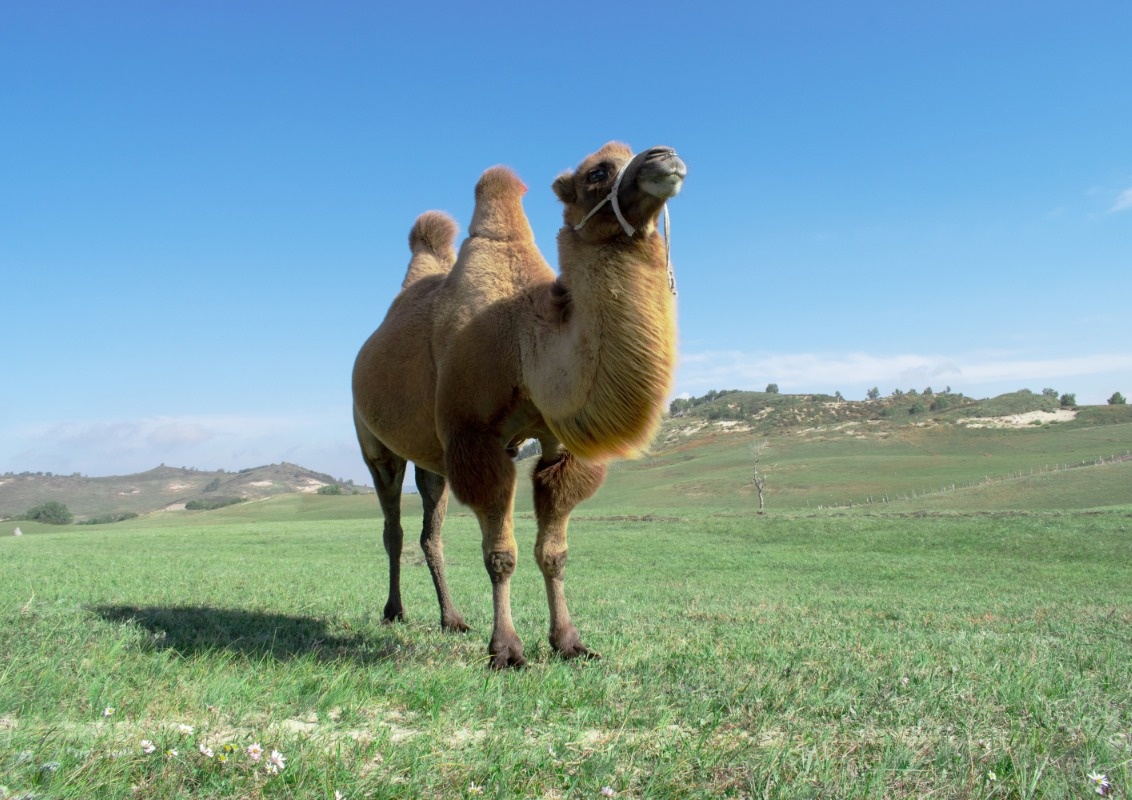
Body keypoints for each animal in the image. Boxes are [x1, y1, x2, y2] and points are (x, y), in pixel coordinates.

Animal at [352, 142, 686, 668]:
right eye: (597, 172)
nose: (664, 157)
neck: (524, 344)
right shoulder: (475, 437)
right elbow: (500, 555)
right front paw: (506, 650)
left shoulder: (557, 447)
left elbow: (553, 552)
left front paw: (569, 641)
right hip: (375, 445)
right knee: (394, 528)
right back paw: (394, 612)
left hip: (433, 458)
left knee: (430, 531)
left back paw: (452, 619)